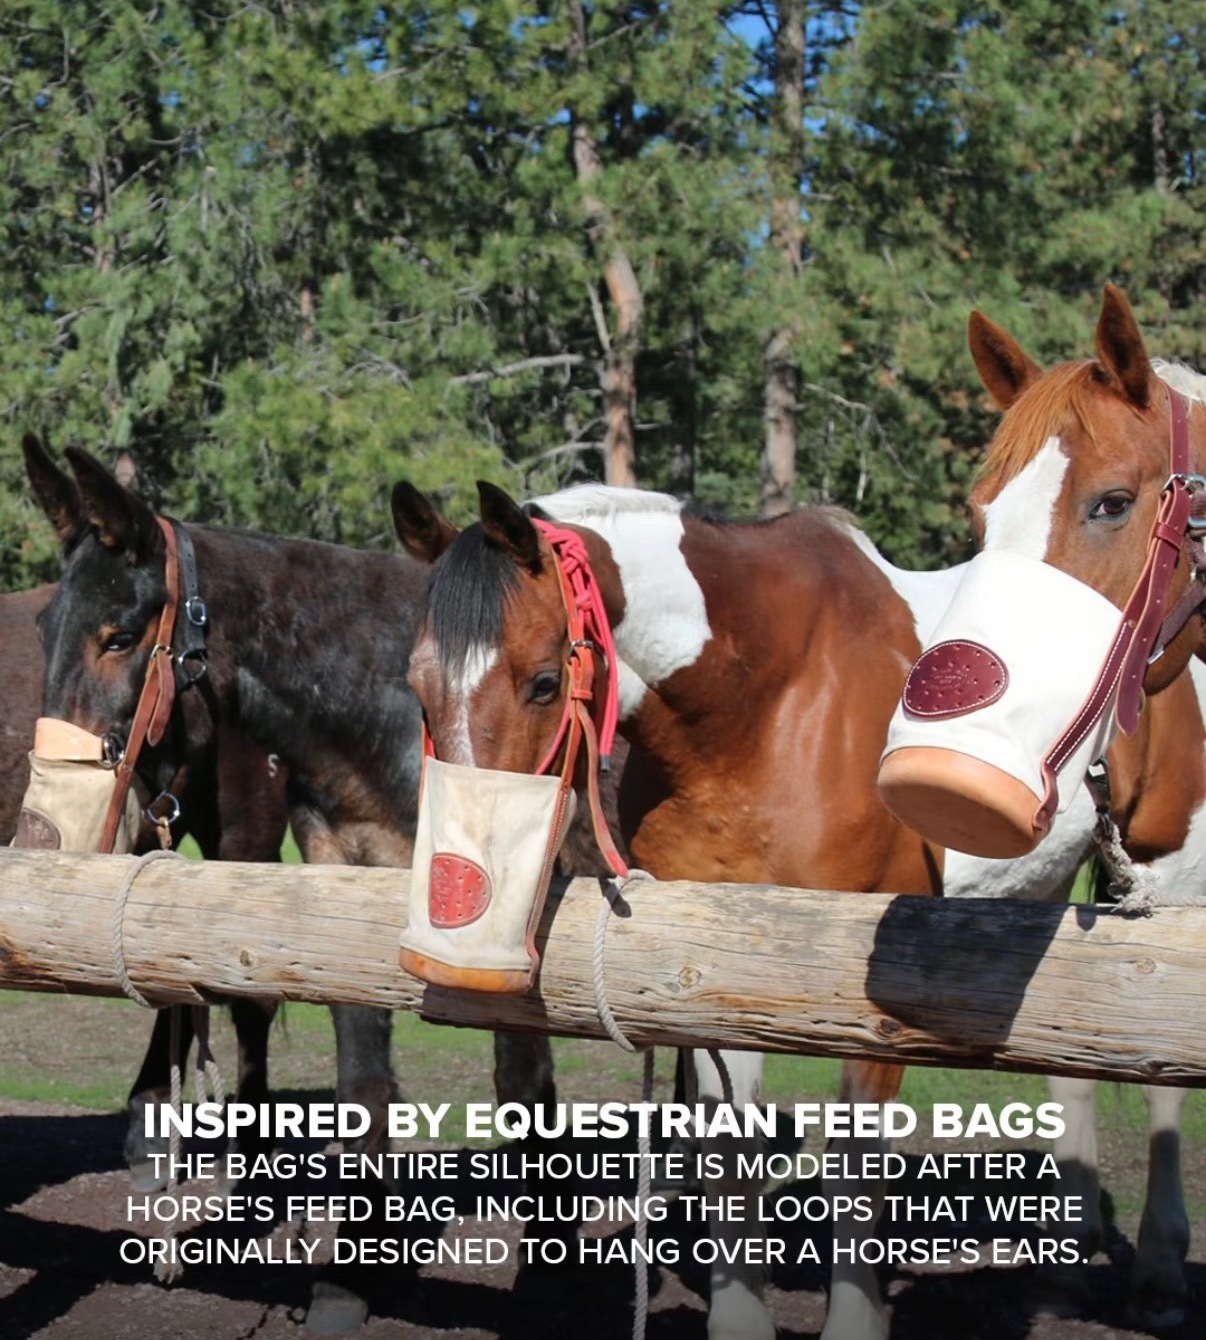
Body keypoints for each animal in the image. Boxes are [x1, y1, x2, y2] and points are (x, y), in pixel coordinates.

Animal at [394, 478, 944, 1340]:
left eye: (544, 682)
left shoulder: (878, 1005)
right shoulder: (711, 973)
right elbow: (730, 1162)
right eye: (418, 689)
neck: (767, 708)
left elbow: (857, 1177)